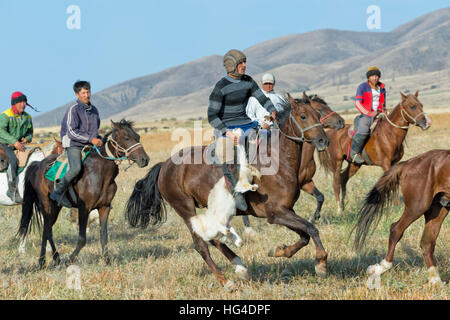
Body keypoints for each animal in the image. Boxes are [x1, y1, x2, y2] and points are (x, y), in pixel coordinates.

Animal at [18, 120, 149, 268]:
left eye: (138, 137)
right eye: (126, 138)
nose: (145, 159)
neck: (100, 173)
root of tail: (37, 165)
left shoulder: (104, 207)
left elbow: (104, 235)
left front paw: (107, 260)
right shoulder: (83, 209)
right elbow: (82, 239)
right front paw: (69, 260)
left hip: (56, 206)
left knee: (48, 229)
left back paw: (55, 258)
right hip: (45, 204)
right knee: (46, 229)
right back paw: (43, 261)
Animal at [126, 94, 330, 288]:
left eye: (318, 114)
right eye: (303, 116)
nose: (324, 141)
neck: (278, 161)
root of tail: (165, 165)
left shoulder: (286, 211)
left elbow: (305, 235)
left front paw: (279, 250)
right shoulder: (276, 213)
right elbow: (311, 229)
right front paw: (321, 263)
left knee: (212, 238)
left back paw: (240, 267)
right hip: (185, 209)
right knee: (201, 244)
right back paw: (226, 281)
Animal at [354, 149, 448, 284]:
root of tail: (409, 162)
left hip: (437, 209)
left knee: (427, 242)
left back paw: (436, 281)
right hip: (418, 206)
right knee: (396, 229)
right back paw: (381, 268)